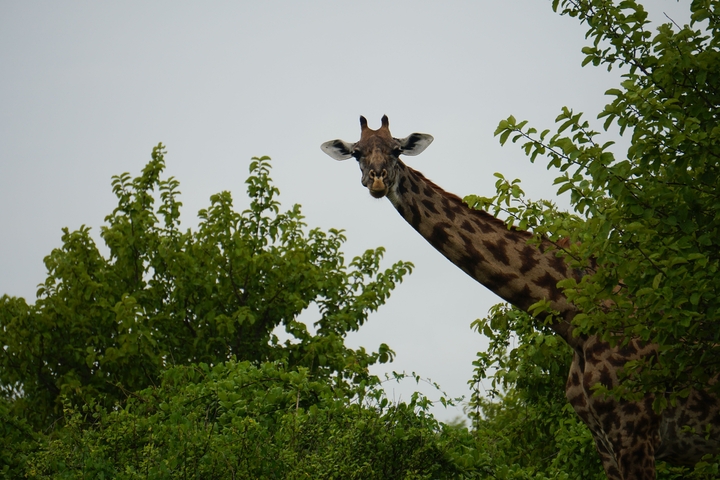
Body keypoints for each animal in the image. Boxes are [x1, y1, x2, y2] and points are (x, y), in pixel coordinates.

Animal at [321, 116, 720, 480]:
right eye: (357, 153)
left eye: (396, 149)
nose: (377, 179)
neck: (573, 321)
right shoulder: (605, 441)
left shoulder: (635, 432)